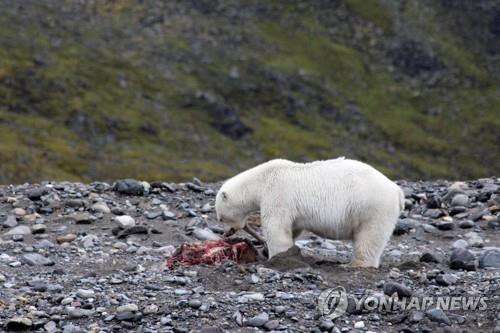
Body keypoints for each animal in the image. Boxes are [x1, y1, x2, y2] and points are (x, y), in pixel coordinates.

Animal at [214, 158, 402, 268]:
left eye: (220, 217)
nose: (226, 233)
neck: (262, 179)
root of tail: (396, 190)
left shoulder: (277, 193)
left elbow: (276, 227)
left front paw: (275, 257)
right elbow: (292, 228)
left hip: (372, 207)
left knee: (370, 237)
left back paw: (355, 264)